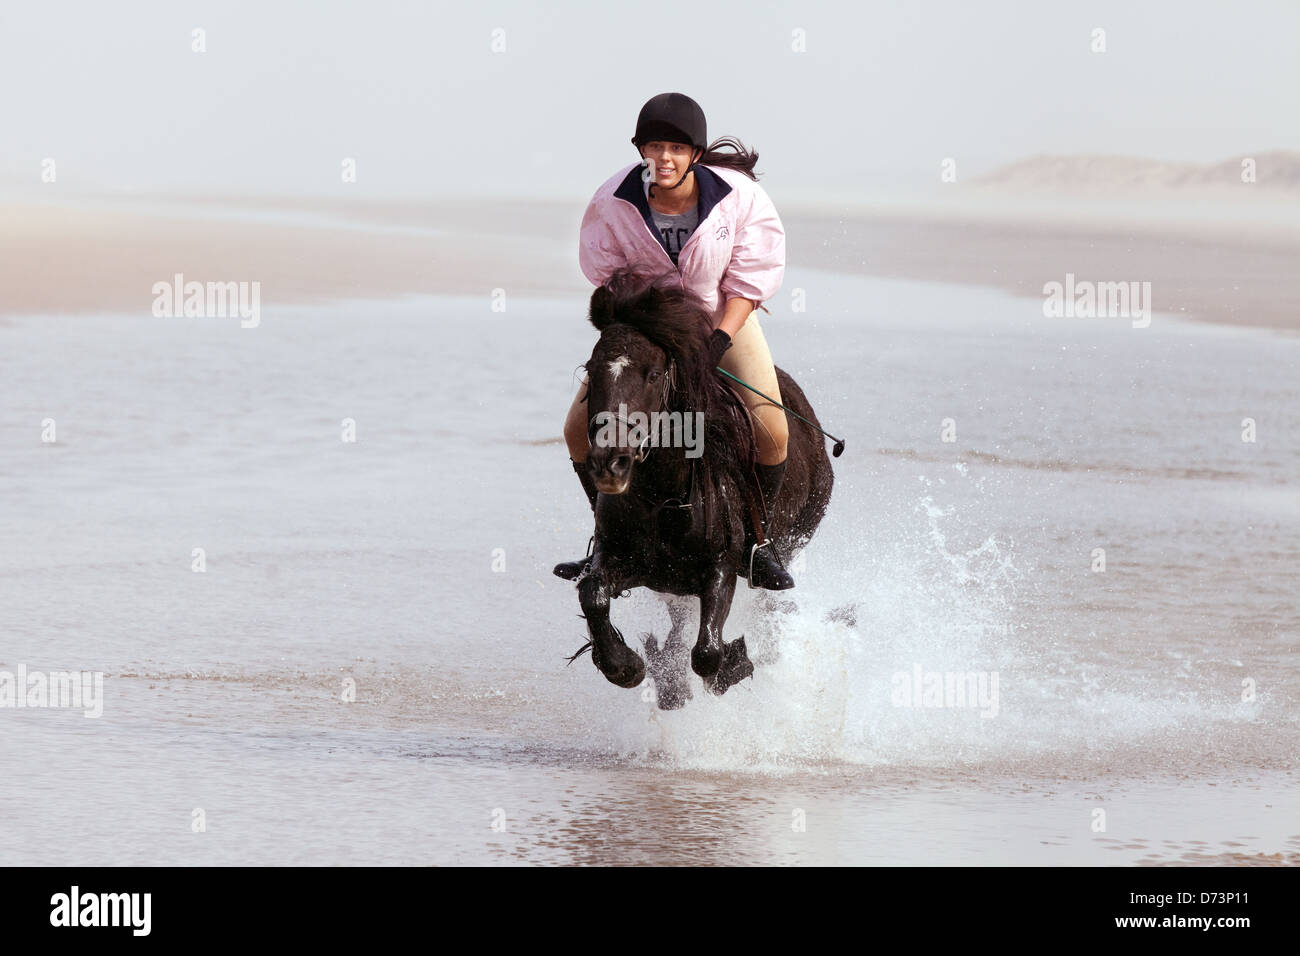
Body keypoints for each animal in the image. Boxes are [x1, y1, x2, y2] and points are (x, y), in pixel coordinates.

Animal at [566, 273, 832, 707]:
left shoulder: (721, 566)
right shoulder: (623, 559)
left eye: (654, 374)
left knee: (767, 606)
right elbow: (593, 593)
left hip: (794, 539)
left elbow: (707, 652)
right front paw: (627, 666)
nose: (610, 463)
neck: (660, 497)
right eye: (592, 368)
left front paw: (732, 666)